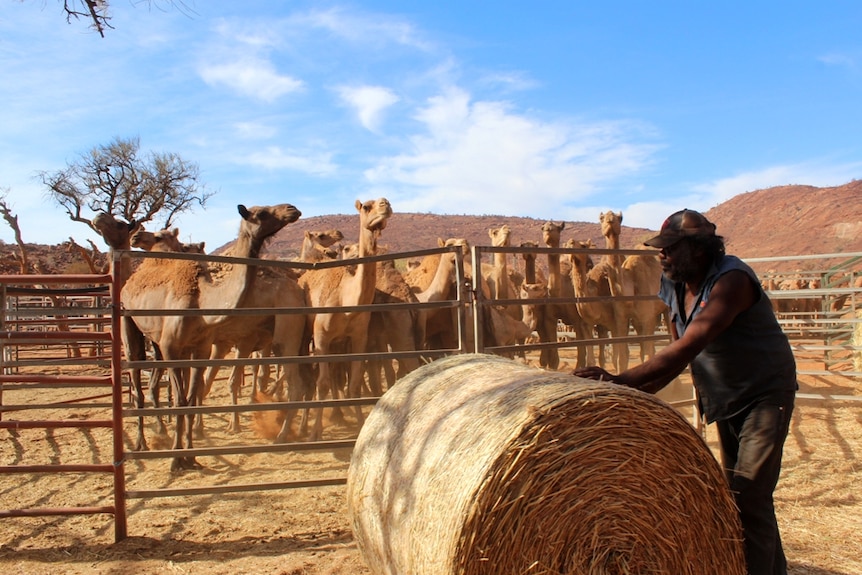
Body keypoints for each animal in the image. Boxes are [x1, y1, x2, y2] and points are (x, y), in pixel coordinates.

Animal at [97, 204, 300, 472]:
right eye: (262, 213)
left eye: (119, 224)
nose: (292, 209)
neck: (202, 301)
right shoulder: (175, 349)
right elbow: (184, 399)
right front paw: (180, 457)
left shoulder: (200, 348)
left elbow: (191, 396)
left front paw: (187, 453)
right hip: (129, 324)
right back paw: (141, 444)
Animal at [296, 198, 392, 440]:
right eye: (366, 206)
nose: (385, 204)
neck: (346, 300)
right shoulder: (321, 337)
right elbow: (322, 383)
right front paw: (315, 433)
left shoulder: (358, 338)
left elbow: (354, 384)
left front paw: (359, 426)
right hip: (307, 334)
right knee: (310, 377)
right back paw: (304, 425)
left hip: (338, 343)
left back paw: (338, 414)